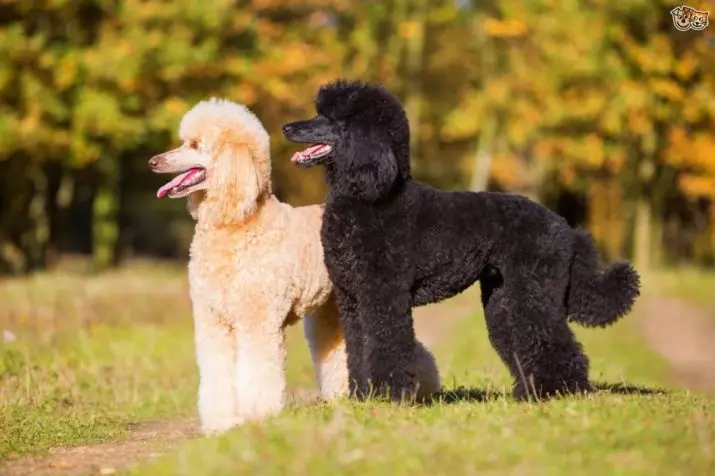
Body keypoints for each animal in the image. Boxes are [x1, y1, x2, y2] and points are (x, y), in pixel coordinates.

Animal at [150, 98, 442, 434]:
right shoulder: (213, 320)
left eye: (196, 145)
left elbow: (259, 370)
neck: (238, 223)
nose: (154, 162)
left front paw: (257, 417)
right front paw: (221, 423)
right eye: (185, 141)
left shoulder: (258, 320)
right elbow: (217, 372)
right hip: (336, 309)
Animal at [282, 81, 640, 402]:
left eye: (330, 118)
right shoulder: (353, 299)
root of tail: (565, 228)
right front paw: (362, 396)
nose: (287, 127)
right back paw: (531, 393)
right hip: (504, 300)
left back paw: (560, 393)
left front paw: (387, 396)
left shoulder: (383, 296)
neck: (372, 197)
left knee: (556, 343)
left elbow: (386, 347)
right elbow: (357, 350)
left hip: (535, 294)